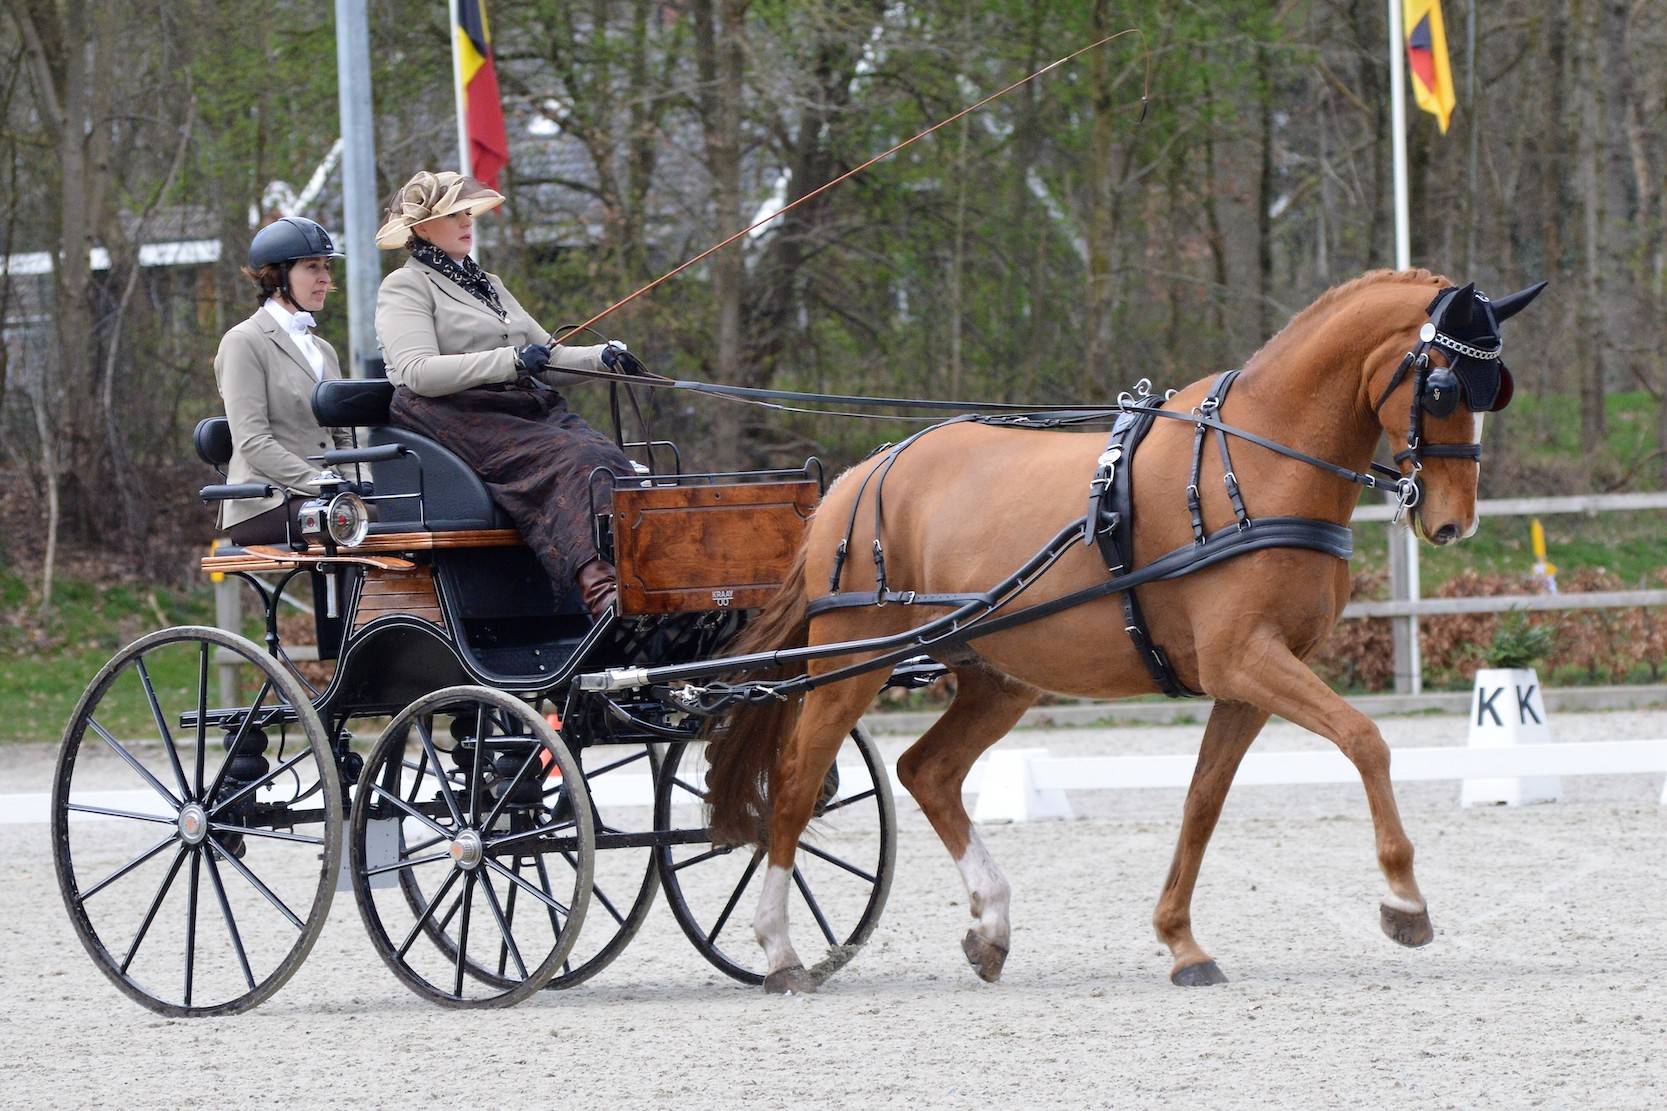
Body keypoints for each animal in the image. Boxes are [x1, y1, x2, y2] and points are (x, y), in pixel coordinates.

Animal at [701, 268, 1547, 993]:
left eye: (1494, 387)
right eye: (1439, 385)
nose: (1451, 522)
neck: (1256, 463)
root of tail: (857, 476)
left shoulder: (1244, 680)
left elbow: (1203, 799)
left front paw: (1181, 940)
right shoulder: (1245, 660)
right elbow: (1365, 740)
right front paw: (1404, 900)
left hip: (995, 675)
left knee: (926, 771)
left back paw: (990, 924)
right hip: (856, 657)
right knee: (797, 780)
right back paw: (780, 950)